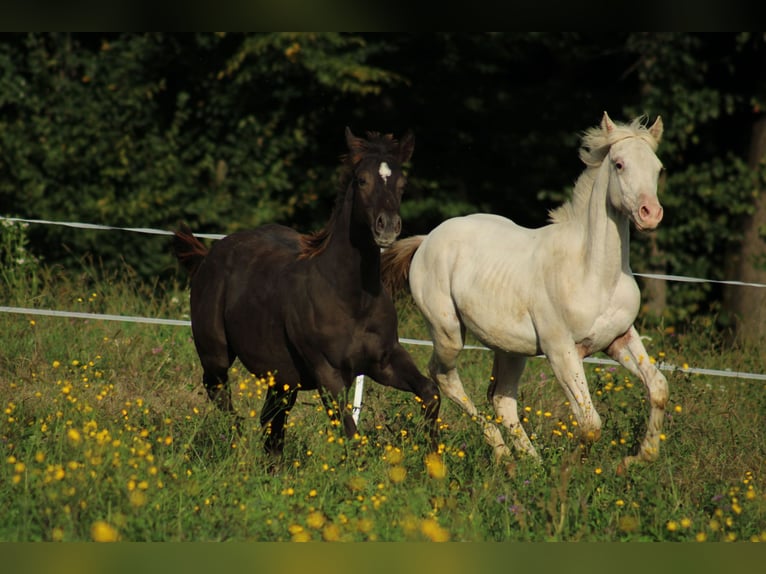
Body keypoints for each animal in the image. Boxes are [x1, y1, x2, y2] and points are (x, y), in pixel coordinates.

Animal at [172, 129, 440, 460]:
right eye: (361, 180)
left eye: (402, 184)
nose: (387, 227)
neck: (352, 299)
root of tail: (209, 254)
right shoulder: (328, 373)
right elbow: (352, 435)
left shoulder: (385, 360)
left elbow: (430, 393)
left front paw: (435, 461)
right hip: (216, 355)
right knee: (221, 396)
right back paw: (236, 447)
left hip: (282, 378)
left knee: (271, 422)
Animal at [384, 112, 672, 472]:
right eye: (619, 164)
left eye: (658, 168)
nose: (651, 214)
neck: (593, 272)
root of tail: (426, 240)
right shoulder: (560, 350)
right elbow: (589, 422)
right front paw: (571, 470)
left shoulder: (619, 338)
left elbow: (658, 387)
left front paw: (635, 459)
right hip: (447, 332)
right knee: (444, 377)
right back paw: (504, 454)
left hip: (510, 349)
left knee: (501, 399)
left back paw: (528, 463)